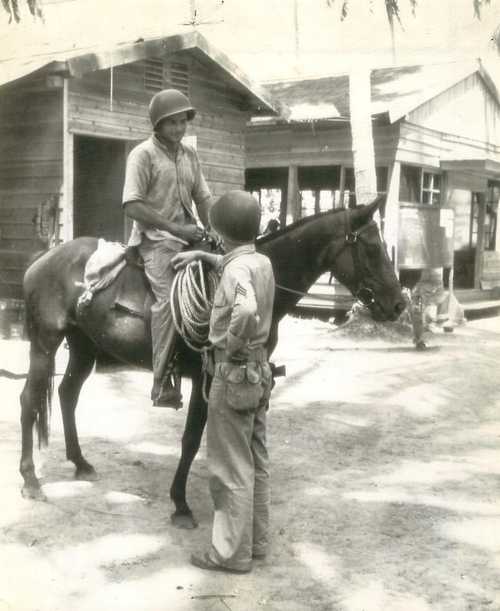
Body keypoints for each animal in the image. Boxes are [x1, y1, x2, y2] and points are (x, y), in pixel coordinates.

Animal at [19, 197, 404, 532]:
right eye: (372, 249)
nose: (399, 304)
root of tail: (43, 259)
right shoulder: (206, 380)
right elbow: (191, 440)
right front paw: (181, 504)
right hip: (44, 344)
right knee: (28, 401)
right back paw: (31, 479)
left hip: (84, 347)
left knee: (67, 394)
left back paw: (80, 463)